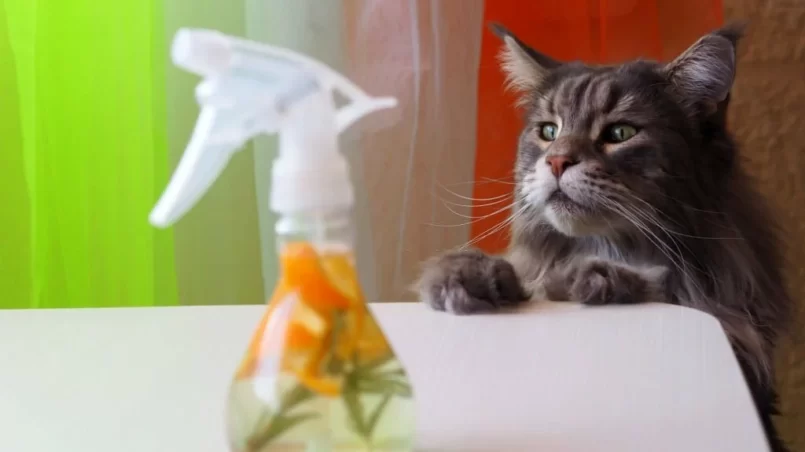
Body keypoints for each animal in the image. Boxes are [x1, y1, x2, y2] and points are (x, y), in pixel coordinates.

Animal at [414, 24, 792, 452]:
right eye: (549, 131)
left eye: (620, 133)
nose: (557, 160)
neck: (598, 246)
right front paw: (465, 275)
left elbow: (654, 279)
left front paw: (596, 276)